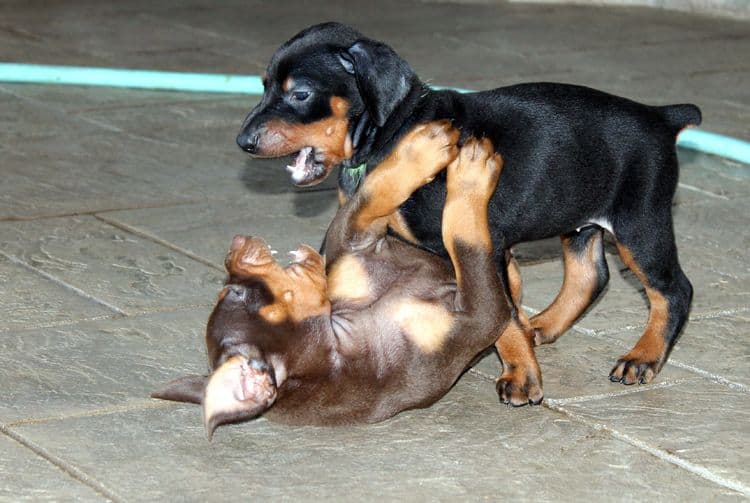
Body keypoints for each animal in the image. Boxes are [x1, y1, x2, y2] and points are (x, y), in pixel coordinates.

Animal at [153, 123, 512, 440]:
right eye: (235, 293)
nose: (234, 245)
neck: (340, 341)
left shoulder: (353, 239)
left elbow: (371, 193)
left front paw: (421, 147)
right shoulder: (482, 316)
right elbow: (465, 239)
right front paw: (471, 172)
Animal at [236, 22, 704, 406]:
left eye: (299, 94)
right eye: (263, 87)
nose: (244, 141)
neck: (395, 130)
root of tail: (660, 117)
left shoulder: (485, 243)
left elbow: (502, 310)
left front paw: (520, 376)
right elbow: (509, 302)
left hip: (639, 221)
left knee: (673, 289)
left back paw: (642, 357)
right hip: (580, 220)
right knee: (591, 275)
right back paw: (544, 325)